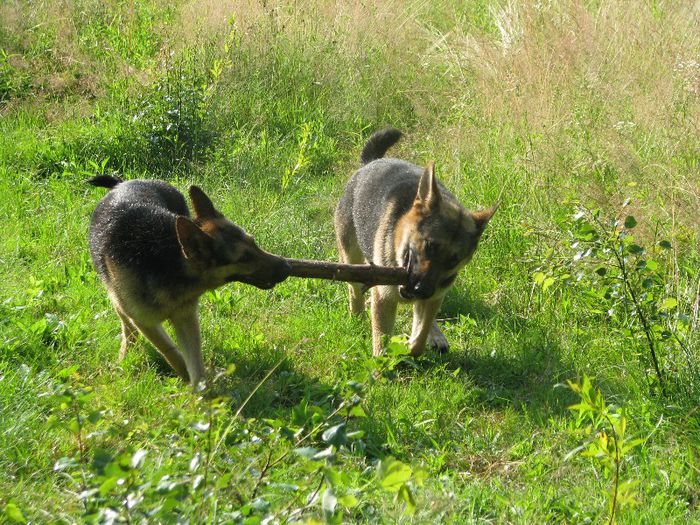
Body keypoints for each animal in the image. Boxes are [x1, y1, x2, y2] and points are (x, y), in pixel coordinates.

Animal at [87, 176, 290, 384]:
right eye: (243, 258)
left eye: (253, 242)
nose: (287, 267)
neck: (168, 260)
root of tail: (124, 182)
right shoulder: (146, 322)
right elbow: (170, 351)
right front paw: (187, 378)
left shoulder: (186, 317)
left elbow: (195, 363)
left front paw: (201, 389)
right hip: (119, 300)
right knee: (126, 324)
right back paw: (125, 352)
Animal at [334, 128, 494, 356]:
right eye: (429, 246)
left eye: (453, 261)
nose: (422, 289)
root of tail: (370, 162)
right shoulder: (384, 298)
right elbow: (381, 341)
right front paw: (382, 362)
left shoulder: (434, 296)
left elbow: (419, 338)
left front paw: (411, 346)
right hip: (350, 257)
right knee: (354, 290)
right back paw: (358, 316)